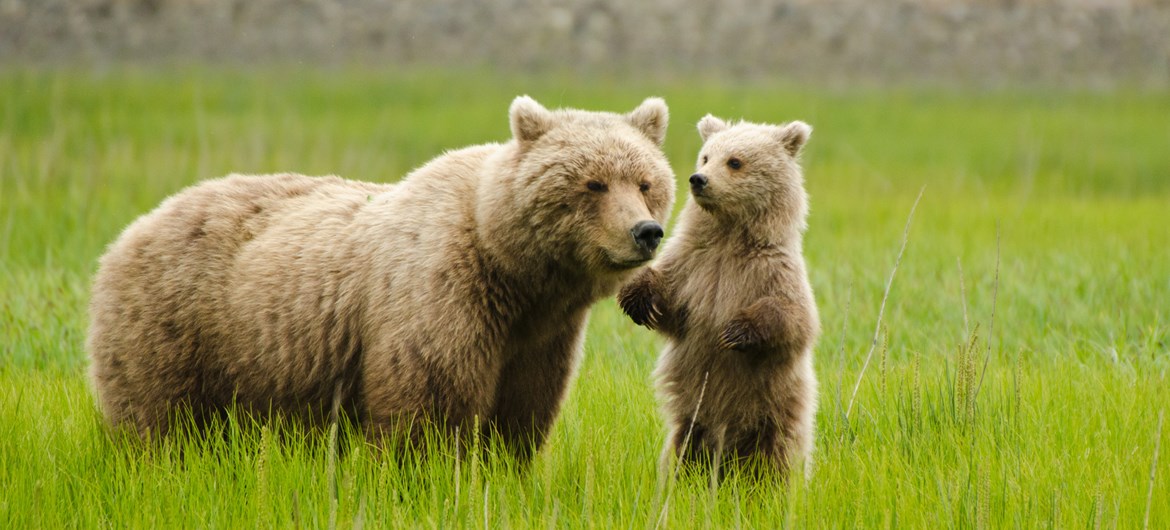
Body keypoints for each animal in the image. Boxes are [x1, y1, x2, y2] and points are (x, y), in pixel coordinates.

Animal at [87, 95, 676, 462]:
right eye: (593, 183)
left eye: (645, 183)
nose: (646, 232)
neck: (514, 271)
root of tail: (131, 229)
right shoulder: (443, 296)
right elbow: (428, 406)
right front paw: (429, 475)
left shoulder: (540, 338)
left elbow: (521, 414)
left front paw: (500, 470)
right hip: (177, 324)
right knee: (159, 421)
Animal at [618, 115, 820, 482]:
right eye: (706, 157)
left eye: (735, 161)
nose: (698, 179)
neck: (730, 235)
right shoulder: (695, 266)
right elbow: (670, 300)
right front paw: (640, 301)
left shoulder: (772, 272)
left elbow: (794, 320)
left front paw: (735, 331)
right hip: (691, 418)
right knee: (683, 451)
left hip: (777, 409)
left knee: (778, 456)